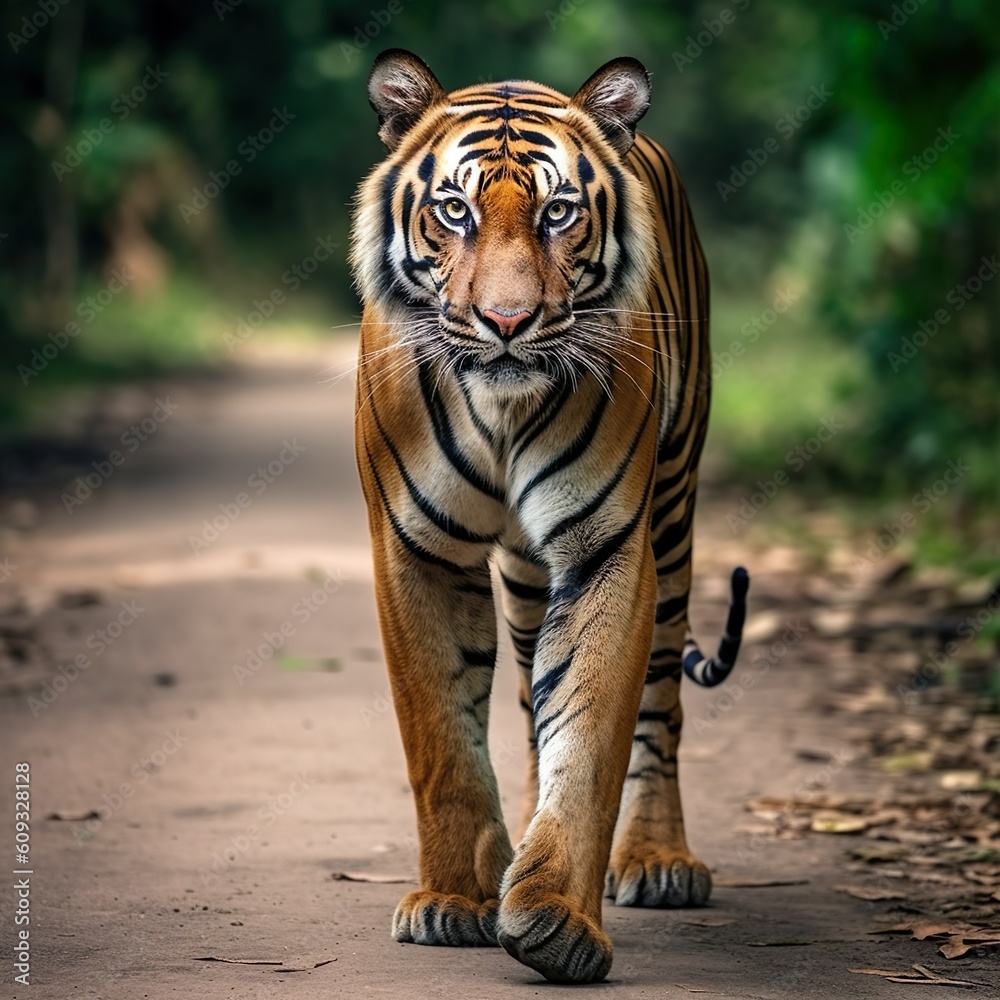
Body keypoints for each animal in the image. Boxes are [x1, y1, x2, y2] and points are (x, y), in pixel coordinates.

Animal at [350, 49, 749, 984]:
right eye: (453, 210)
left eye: (558, 211)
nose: (506, 322)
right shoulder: (415, 551)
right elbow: (442, 738)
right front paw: (455, 899)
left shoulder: (608, 548)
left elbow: (593, 728)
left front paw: (559, 919)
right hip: (532, 580)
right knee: (532, 703)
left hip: (672, 514)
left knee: (660, 707)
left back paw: (657, 859)